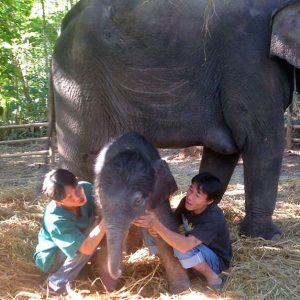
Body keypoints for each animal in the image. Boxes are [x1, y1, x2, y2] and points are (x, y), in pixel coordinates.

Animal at [49, 0, 300, 240]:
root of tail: (67, 20)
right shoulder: (251, 60)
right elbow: (262, 140)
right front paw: (268, 236)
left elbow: (224, 152)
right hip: (79, 80)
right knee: (82, 156)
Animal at [93, 131, 190, 292]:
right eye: (101, 197)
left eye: (138, 201)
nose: (119, 272)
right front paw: (109, 288)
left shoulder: (158, 195)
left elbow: (166, 228)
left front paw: (181, 289)